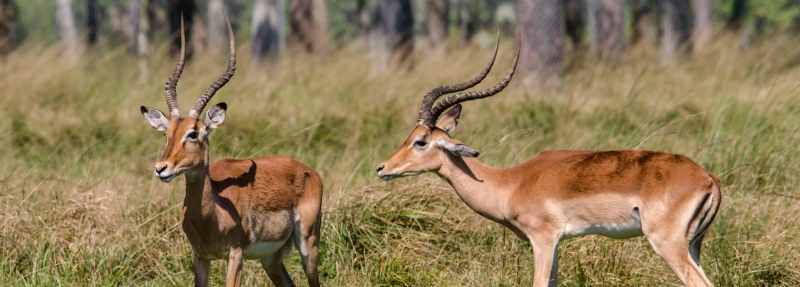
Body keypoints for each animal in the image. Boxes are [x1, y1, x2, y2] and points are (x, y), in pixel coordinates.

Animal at [140, 16, 322, 287]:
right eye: (166, 134)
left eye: (193, 133)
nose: (162, 168)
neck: (213, 214)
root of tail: (308, 170)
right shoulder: (200, 256)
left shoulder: (235, 255)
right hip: (271, 258)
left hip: (308, 245)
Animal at [378, 34, 720, 287]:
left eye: (421, 141)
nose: (382, 168)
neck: (511, 183)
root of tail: (709, 180)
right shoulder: (555, 244)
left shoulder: (542, 239)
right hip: (692, 246)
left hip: (668, 245)